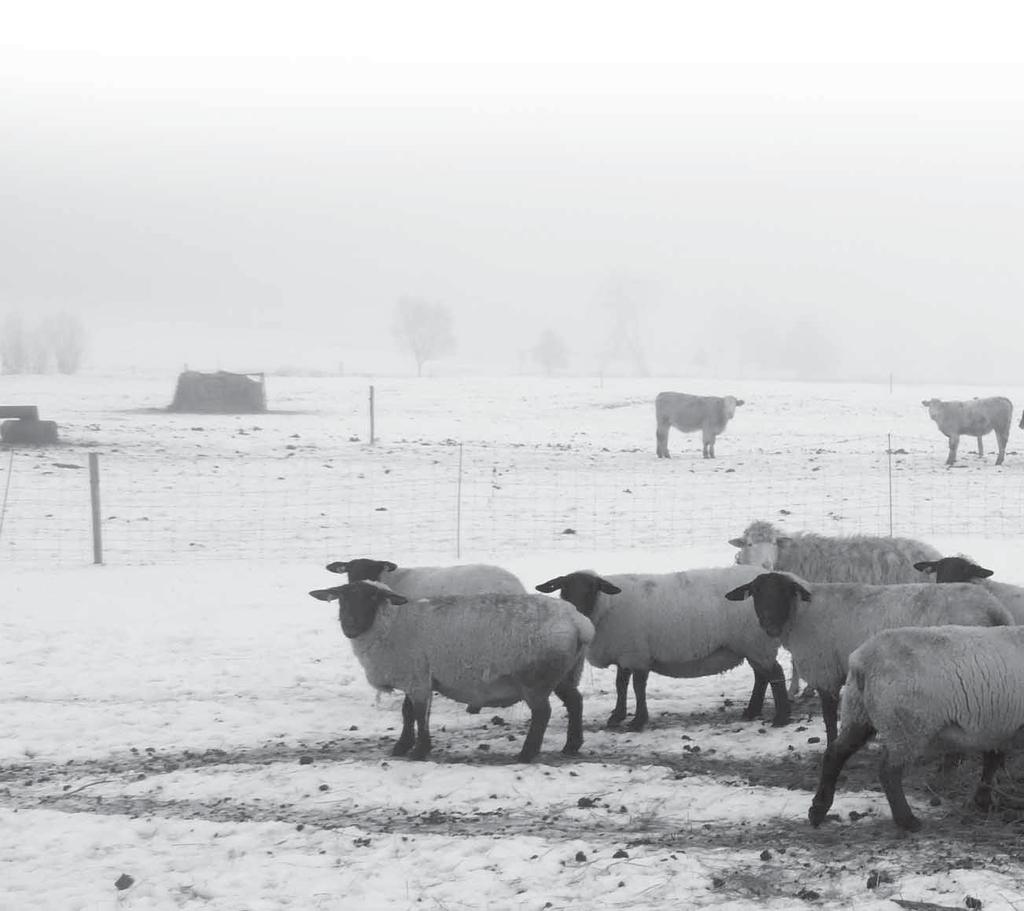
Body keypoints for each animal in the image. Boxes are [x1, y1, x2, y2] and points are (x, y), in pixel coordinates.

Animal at [307, 581, 593, 761]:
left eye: (372, 598)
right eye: (342, 598)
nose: (349, 625)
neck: (393, 623)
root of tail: (579, 622)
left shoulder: (418, 678)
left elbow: (419, 714)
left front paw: (419, 750)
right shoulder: (416, 677)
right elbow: (407, 713)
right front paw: (402, 746)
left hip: (536, 678)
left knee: (543, 714)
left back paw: (526, 754)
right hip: (564, 674)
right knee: (575, 701)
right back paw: (571, 745)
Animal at [536, 565, 790, 728]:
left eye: (591, 589)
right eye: (564, 589)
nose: (575, 612)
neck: (606, 607)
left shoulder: (637, 653)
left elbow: (637, 686)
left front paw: (638, 721)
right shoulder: (625, 653)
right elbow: (621, 685)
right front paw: (617, 716)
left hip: (757, 642)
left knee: (775, 674)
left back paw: (781, 718)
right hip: (752, 646)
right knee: (762, 677)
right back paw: (751, 711)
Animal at [724, 573, 1011, 741]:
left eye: (785, 592)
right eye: (755, 594)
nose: (769, 626)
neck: (802, 614)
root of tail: (994, 608)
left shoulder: (825, 671)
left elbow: (830, 718)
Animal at [815, 626, 1024, 831]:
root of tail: (861, 661)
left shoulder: (999, 728)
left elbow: (991, 762)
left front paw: (983, 802)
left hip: (858, 712)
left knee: (835, 753)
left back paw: (817, 809)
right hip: (905, 726)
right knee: (888, 771)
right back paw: (907, 820)